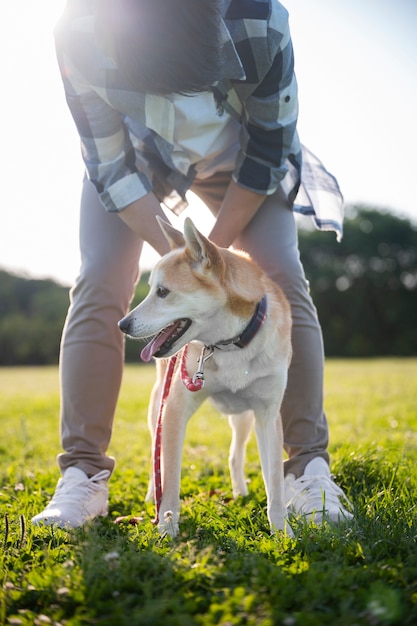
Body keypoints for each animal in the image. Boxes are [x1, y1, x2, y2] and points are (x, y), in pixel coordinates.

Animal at [118, 216, 292, 536]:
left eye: (163, 292)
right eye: (151, 289)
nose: (122, 324)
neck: (230, 343)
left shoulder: (268, 415)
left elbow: (274, 482)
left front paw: (283, 533)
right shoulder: (173, 410)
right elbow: (169, 479)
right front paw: (167, 529)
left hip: (244, 418)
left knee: (235, 454)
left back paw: (240, 492)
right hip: (156, 408)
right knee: (154, 457)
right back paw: (151, 495)